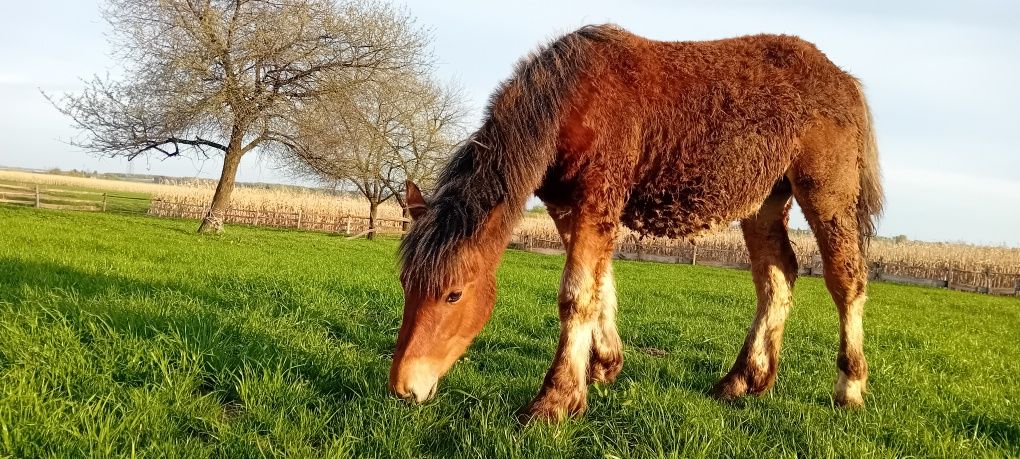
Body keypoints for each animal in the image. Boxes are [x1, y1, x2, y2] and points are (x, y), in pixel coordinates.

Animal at [385, 24, 881, 420]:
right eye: (406, 284)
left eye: (453, 294)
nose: (404, 388)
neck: (575, 99)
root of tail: (844, 79)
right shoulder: (570, 209)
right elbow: (599, 288)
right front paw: (602, 365)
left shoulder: (596, 202)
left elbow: (576, 296)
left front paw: (555, 401)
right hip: (764, 202)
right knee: (778, 277)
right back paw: (744, 380)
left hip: (827, 196)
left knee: (846, 281)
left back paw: (850, 387)